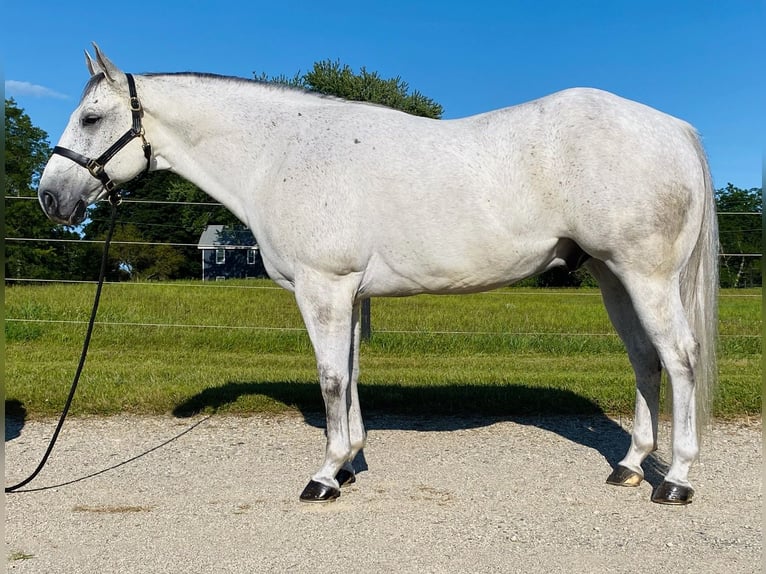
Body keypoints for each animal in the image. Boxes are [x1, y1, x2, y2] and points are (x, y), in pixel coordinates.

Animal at [39, 45, 718, 505]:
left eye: (91, 119)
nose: (51, 197)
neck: (282, 153)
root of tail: (675, 129)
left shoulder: (323, 286)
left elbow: (332, 378)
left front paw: (324, 475)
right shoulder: (348, 293)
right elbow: (352, 375)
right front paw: (348, 463)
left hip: (645, 276)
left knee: (679, 358)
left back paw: (676, 480)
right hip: (612, 275)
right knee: (645, 360)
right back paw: (629, 465)